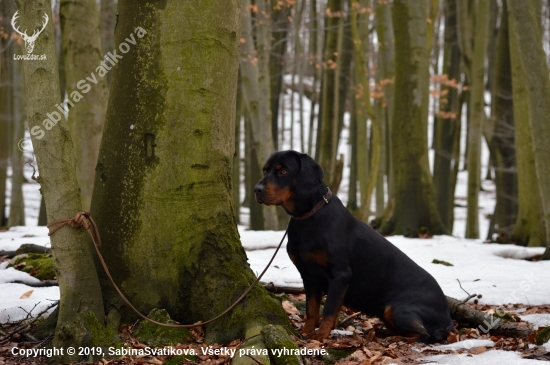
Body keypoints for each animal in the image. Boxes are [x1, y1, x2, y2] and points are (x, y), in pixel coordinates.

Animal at [256, 150, 454, 342]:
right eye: (265, 170)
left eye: (284, 171)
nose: (256, 189)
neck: (308, 218)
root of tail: (447, 317)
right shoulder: (309, 276)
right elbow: (312, 309)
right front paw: (306, 331)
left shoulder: (340, 275)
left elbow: (329, 309)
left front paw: (321, 335)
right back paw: (383, 332)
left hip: (397, 308)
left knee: (426, 335)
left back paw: (395, 337)